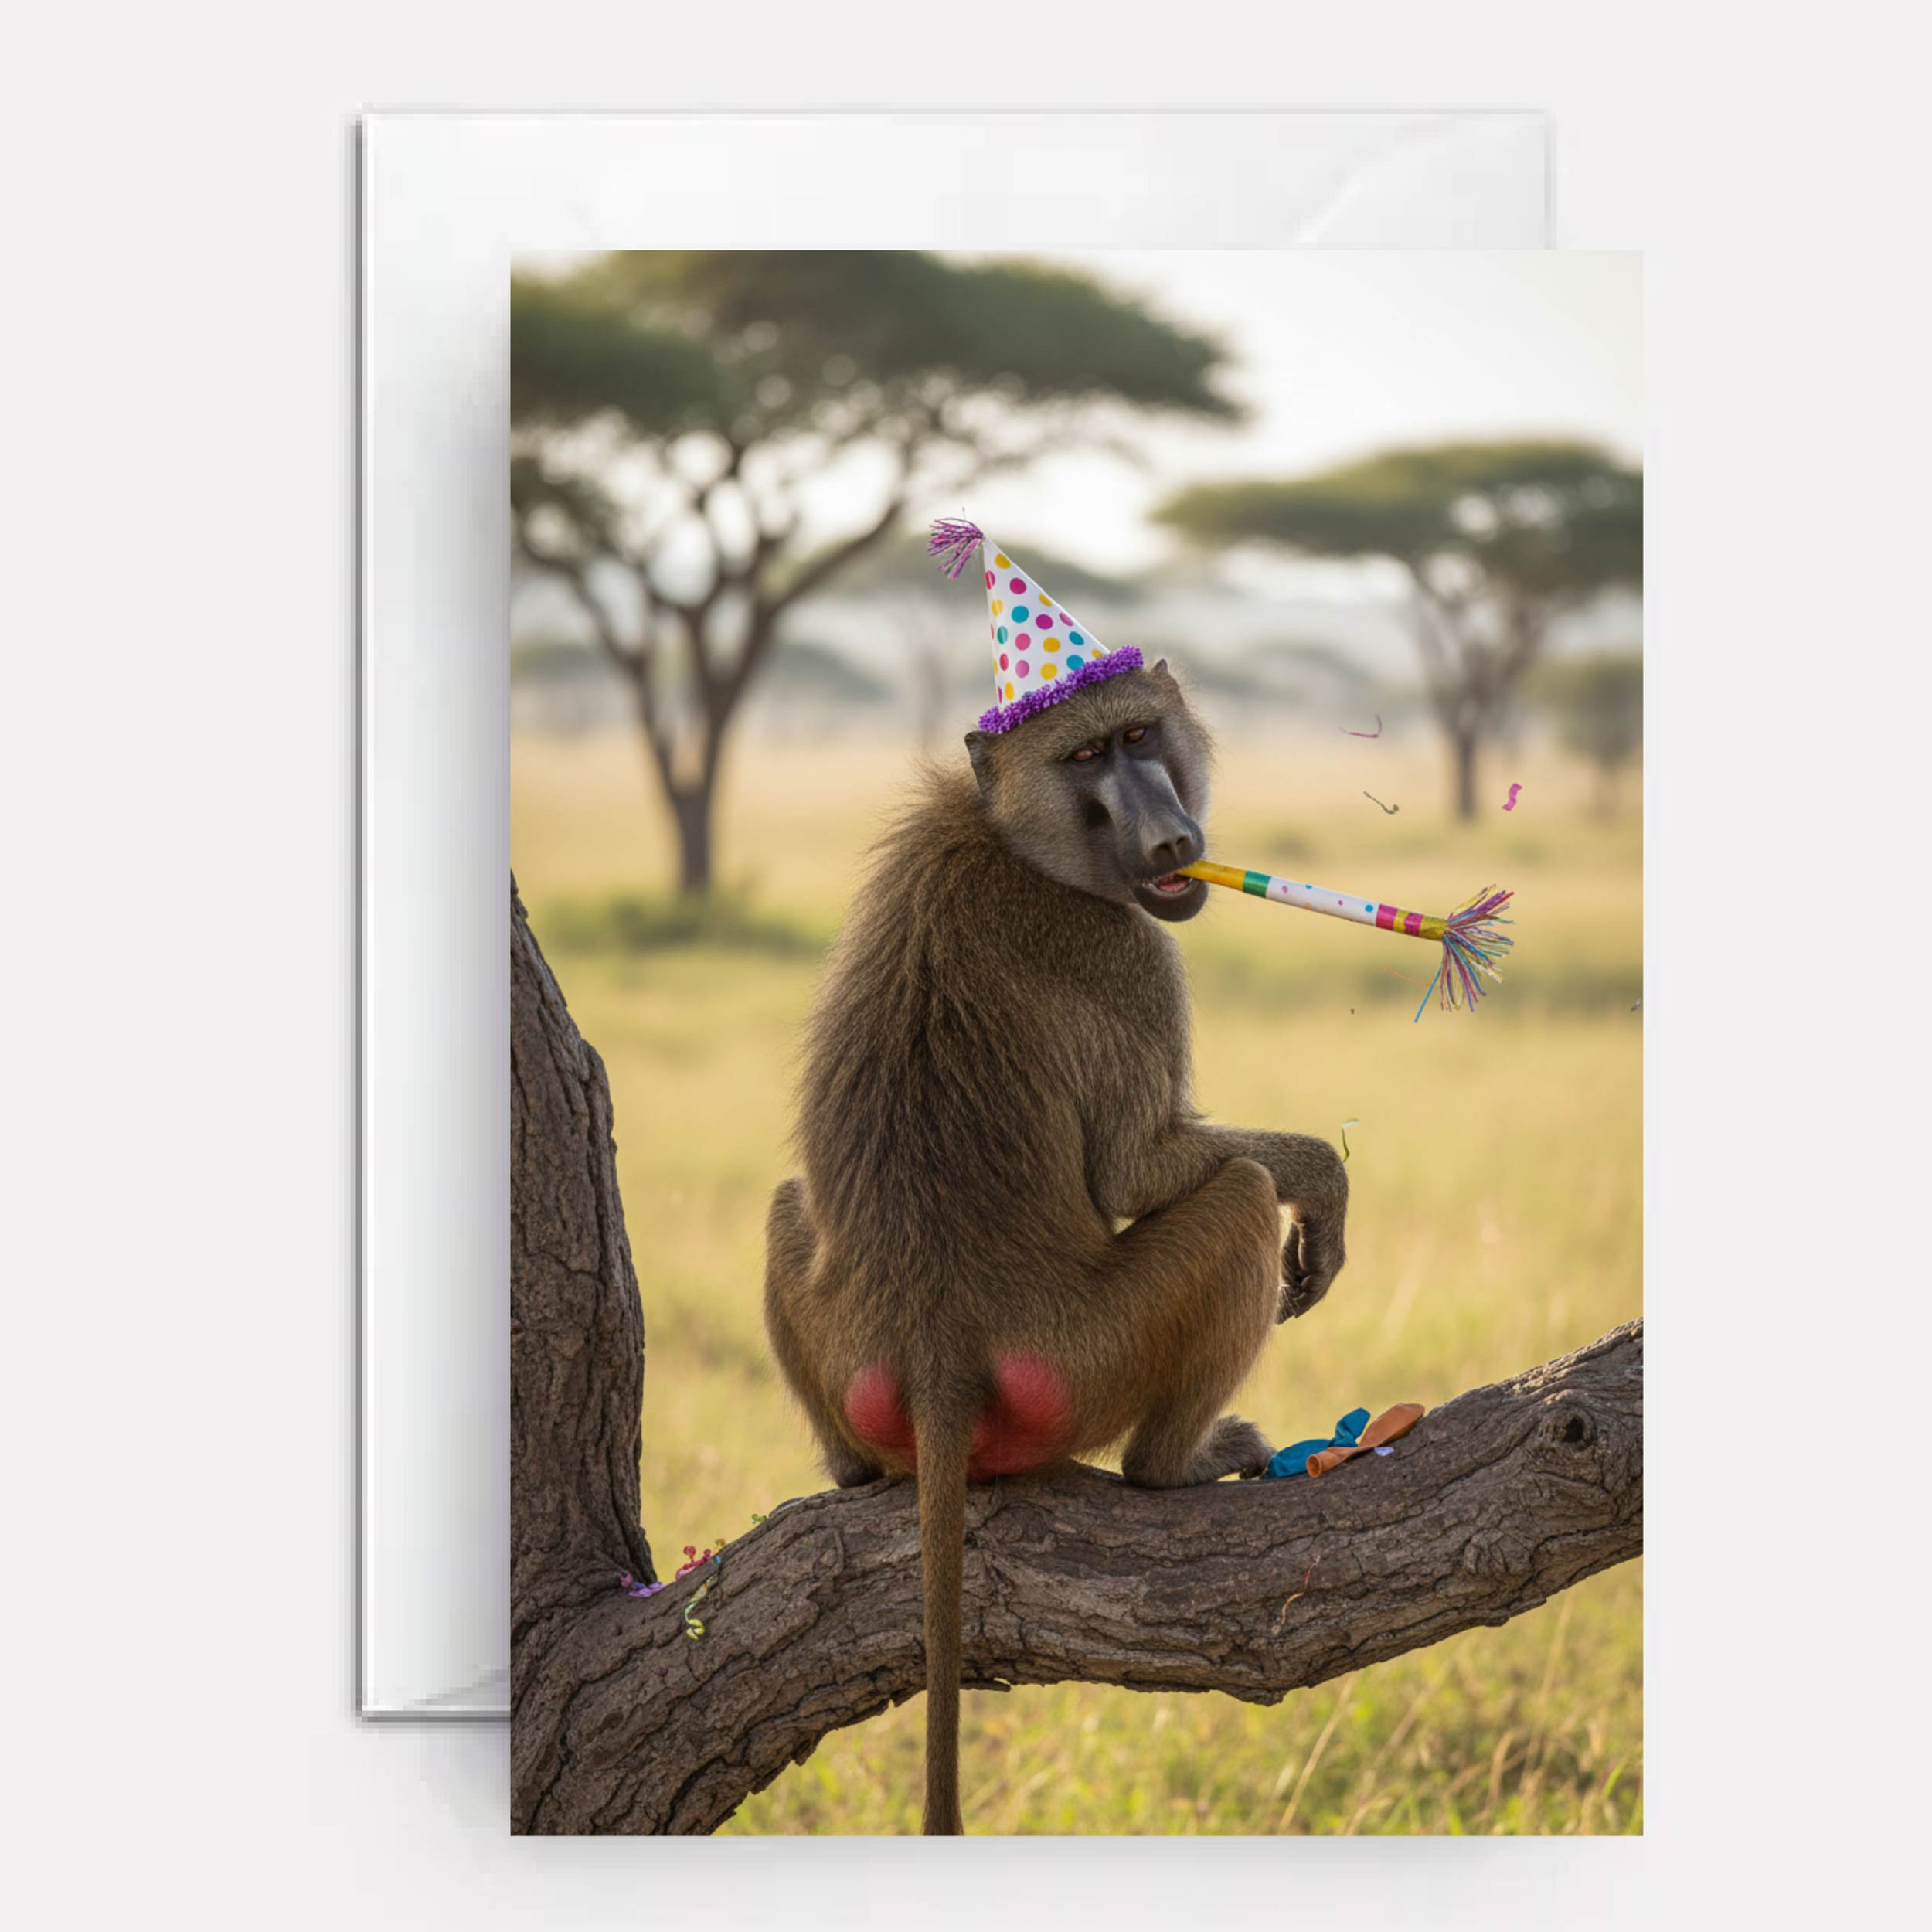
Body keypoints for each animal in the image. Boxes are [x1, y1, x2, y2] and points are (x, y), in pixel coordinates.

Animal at [763, 659, 1348, 1835]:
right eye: (1085, 757)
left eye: (1138, 736)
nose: (1171, 840)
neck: (1007, 833)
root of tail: (938, 1350)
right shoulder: (1130, 953)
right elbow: (1141, 1168)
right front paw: (1325, 1185)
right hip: (1092, 1359)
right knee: (1236, 1198)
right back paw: (1176, 1468)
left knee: (789, 1203)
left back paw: (849, 1471)